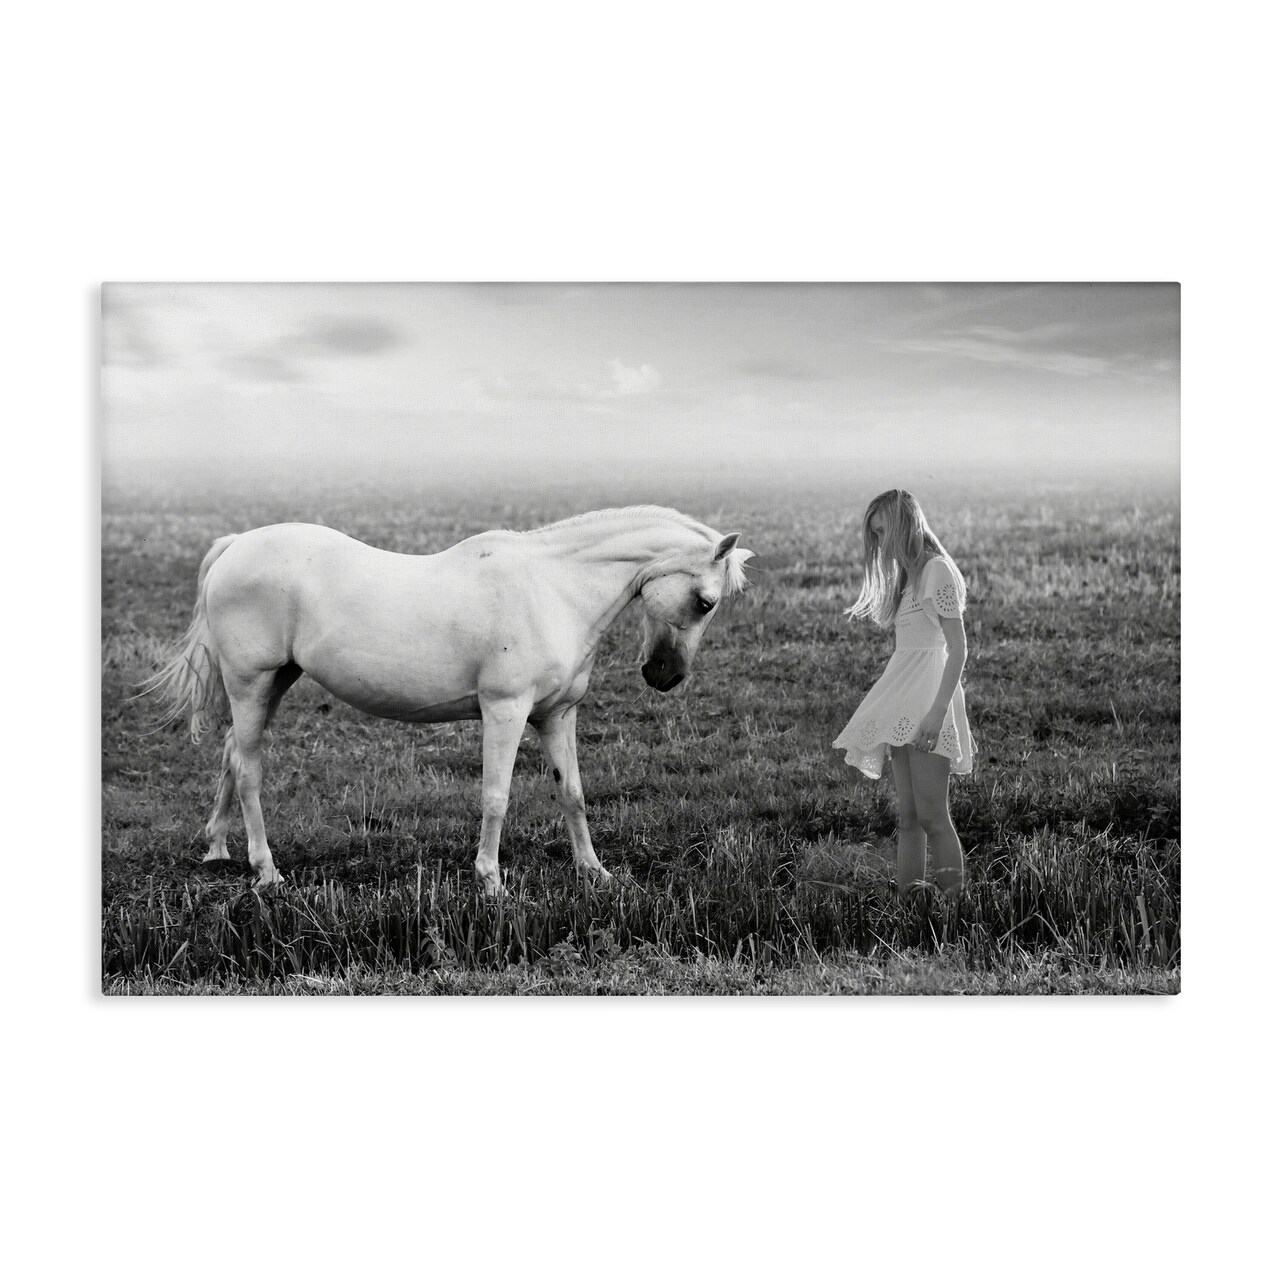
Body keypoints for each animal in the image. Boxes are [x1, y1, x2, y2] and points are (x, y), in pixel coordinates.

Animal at [146, 506, 753, 893]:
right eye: (704, 602)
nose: (665, 676)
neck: (553, 589)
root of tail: (235, 545)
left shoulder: (556, 715)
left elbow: (574, 793)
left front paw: (594, 873)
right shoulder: (505, 711)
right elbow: (496, 797)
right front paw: (490, 881)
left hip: (274, 683)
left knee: (232, 753)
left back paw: (218, 850)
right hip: (250, 683)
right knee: (249, 769)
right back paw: (266, 870)